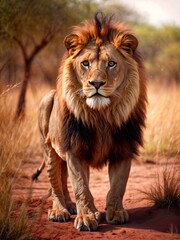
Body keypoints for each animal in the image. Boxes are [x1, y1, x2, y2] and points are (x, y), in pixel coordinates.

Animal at [37, 13, 147, 231]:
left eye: (111, 64)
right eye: (85, 63)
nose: (96, 83)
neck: (101, 115)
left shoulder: (124, 148)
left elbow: (118, 185)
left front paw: (115, 212)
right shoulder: (74, 148)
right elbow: (80, 185)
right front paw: (86, 217)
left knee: (63, 176)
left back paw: (72, 206)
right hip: (48, 138)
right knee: (55, 180)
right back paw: (59, 210)